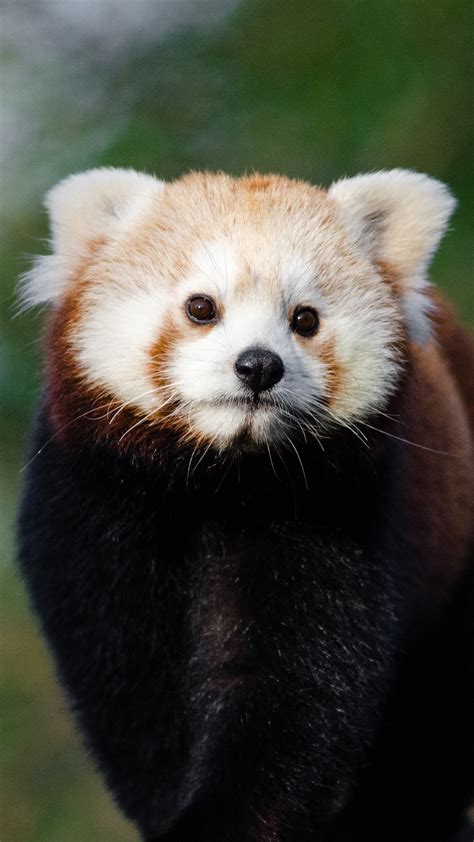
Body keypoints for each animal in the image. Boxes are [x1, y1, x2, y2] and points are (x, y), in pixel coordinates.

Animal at [17, 168, 474, 841]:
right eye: (201, 308)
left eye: (305, 319)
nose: (259, 365)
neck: (217, 480)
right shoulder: (93, 513)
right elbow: (132, 690)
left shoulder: (332, 513)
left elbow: (290, 692)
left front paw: (221, 820)